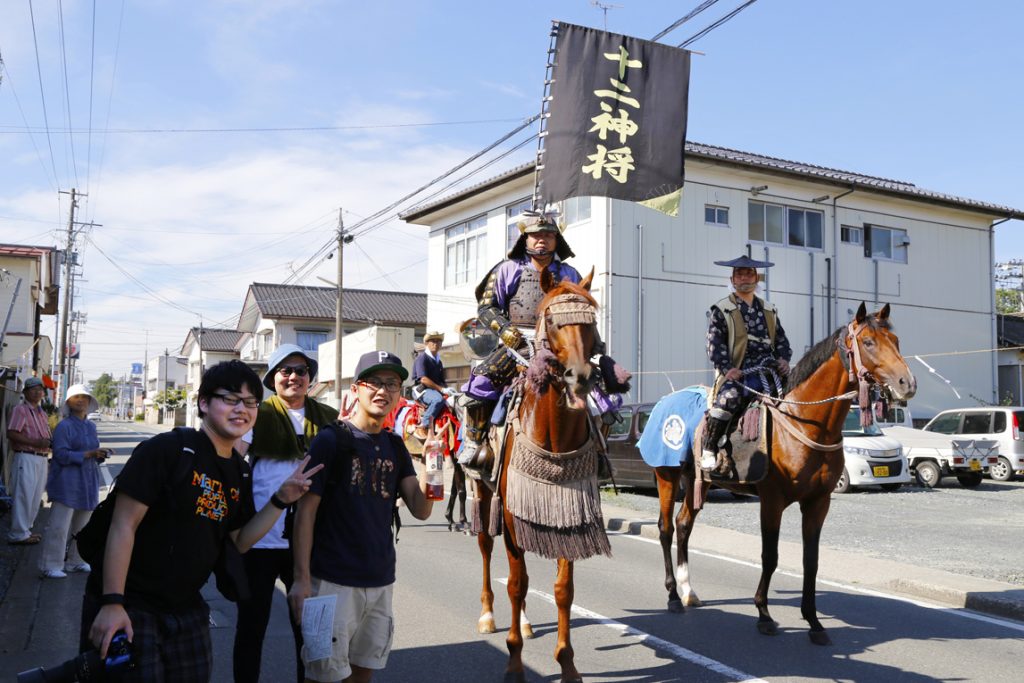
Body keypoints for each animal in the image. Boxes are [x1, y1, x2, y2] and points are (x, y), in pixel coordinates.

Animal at [471, 268, 606, 683]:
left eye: (591, 323)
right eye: (552, 320)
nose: (579, 377)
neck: (554, 435)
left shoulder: (569, 513)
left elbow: (563, 590)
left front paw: (568, 663)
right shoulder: (512, 513)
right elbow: (517, 584)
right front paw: (514, 663)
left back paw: (529, 625)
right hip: (483, 494)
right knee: (486, 548)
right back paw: (487, 615)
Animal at [651, 303, 917, 647]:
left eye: (895, 340)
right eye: (869, 342)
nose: (906, 383)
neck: (806, 421)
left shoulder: (818, 502)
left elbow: (810, 561)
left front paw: (814, 622)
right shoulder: (772, 501)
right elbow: (770, 556)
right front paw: (764, 615)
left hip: (700, 482)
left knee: (684, 526)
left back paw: (688, 591)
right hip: (667, 475)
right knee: (666, 529)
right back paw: (672, 594)